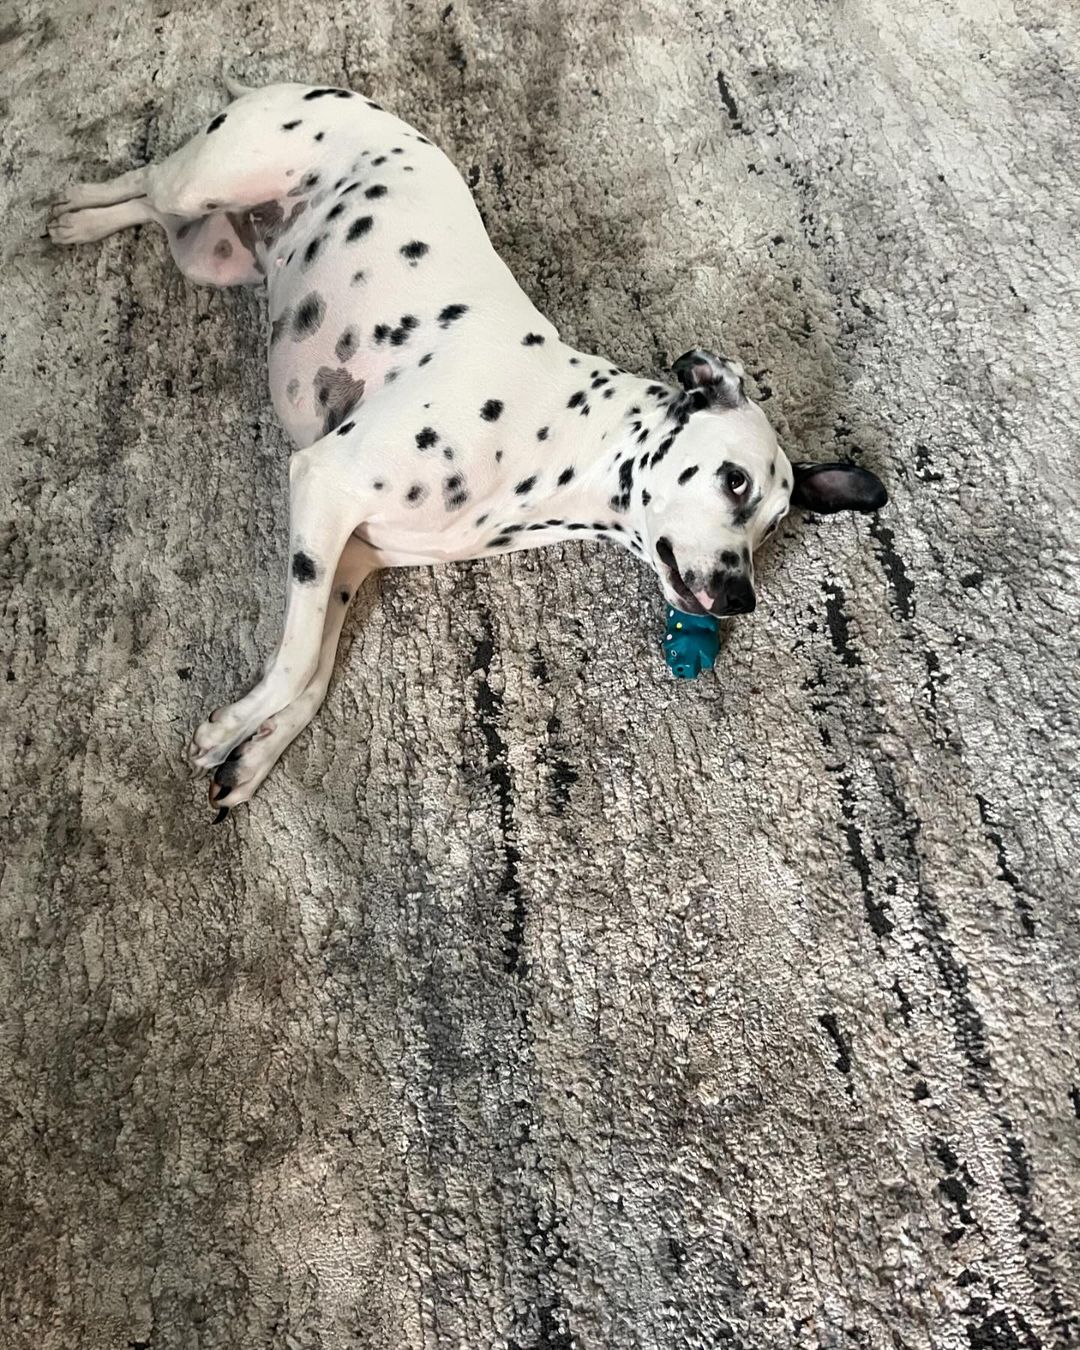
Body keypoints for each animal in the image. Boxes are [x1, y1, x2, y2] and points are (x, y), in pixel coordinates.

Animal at [48, 78, 885, 815]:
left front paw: (253, 753)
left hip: (209, 252)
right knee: (146, 176)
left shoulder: (350, 560)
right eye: (735, 481)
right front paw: (230, 726)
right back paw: (74, 211)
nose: (742, 597)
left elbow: (312, 674)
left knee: (148, 205)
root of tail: (330, 89)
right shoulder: (323, 481)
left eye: (775, 527)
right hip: (202, 185)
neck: (556, 435)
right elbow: (296, 662)